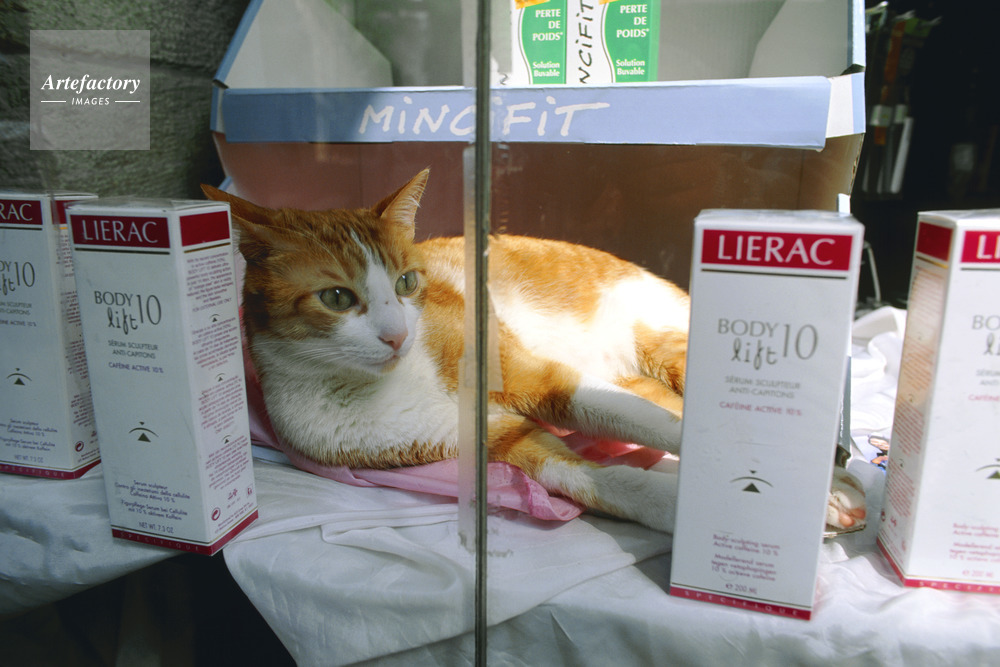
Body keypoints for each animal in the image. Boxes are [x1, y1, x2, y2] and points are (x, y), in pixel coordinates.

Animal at [202, 169, 866, 533]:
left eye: (407, 283)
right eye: (338, 298)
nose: (397, 335)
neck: (376, 386)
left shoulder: (537, 379)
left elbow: (656, 427)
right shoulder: (490, 435)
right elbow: (588, 478)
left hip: (660, 338)